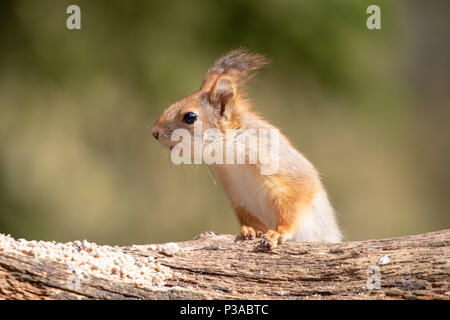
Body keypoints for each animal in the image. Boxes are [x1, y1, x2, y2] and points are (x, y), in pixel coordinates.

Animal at [151, 48, 342, 249]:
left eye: (190, 116)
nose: (154, 132)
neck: (231, 156)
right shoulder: (240, 199)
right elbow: (249, 218)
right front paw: (251, 229)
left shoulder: (288, 175)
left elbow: (295, 203)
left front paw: (278, 232)